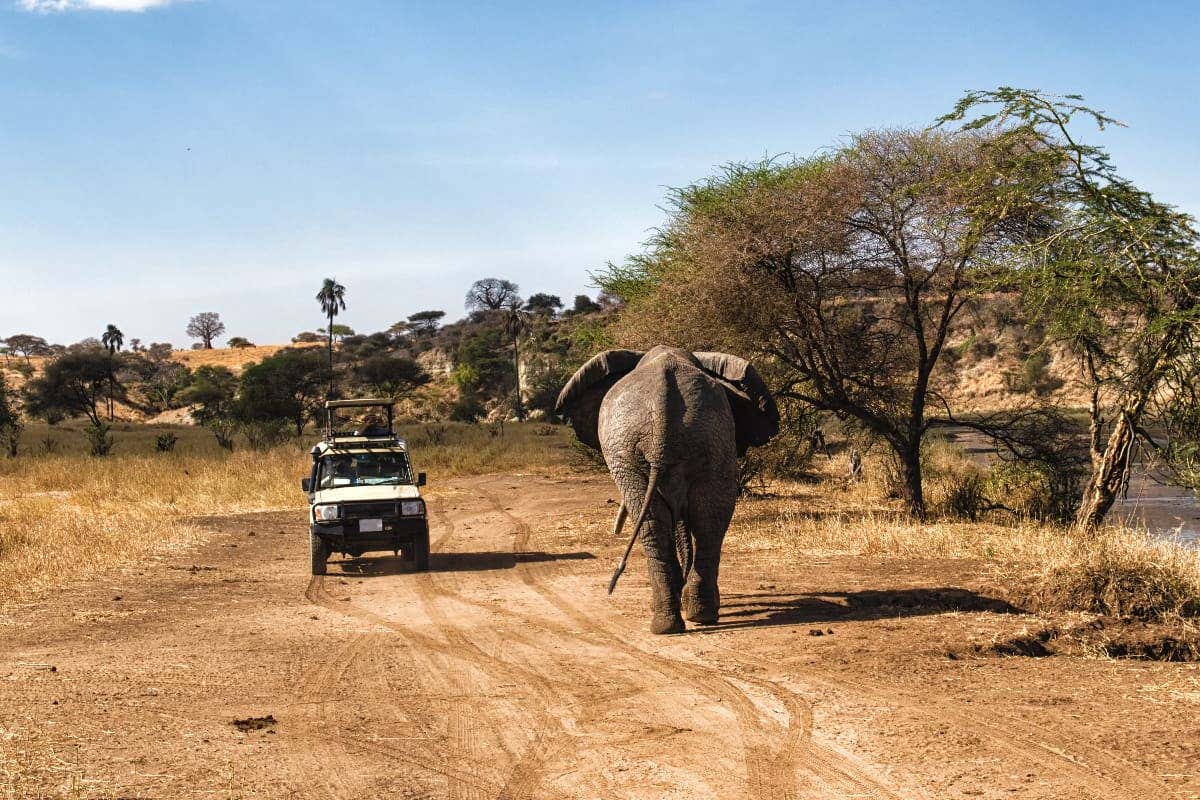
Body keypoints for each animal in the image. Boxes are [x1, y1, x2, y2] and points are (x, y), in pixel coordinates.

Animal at [552, 347, 777, 633]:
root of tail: (663, 408)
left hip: (647, 448)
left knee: (673, 522)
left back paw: (676, 620)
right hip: (698, 442)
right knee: (701, 521)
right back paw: (690, 618)